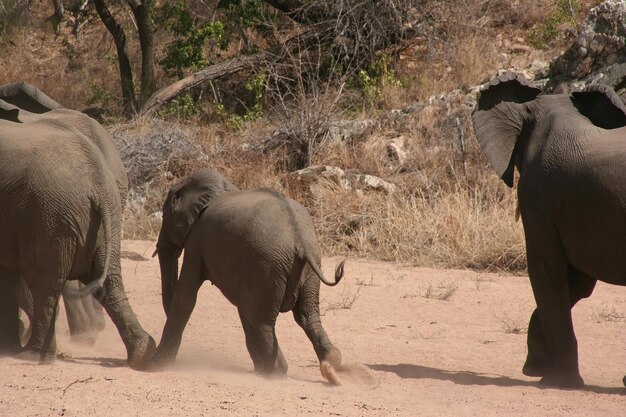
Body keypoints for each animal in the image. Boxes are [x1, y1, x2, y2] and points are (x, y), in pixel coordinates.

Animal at [0, 100, 154, 368]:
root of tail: (98, 181)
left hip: (49, 215)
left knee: (43, 283)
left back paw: (33, 354)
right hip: (99, 217)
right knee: (108, 281)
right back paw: (143, 354)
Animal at [153, 168, 344, 384]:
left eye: (165, 215)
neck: (220, 189)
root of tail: (299, 238)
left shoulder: (197, 242)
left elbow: (185, 297)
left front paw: (156, 365)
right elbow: (243, 309)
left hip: (268, 264)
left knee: (263, 320)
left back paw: (275, 373)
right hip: (304, 266)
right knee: (306, 316)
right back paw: (330, 364)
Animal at [470, 72, 624, 386]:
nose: (529, 367)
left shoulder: (538, 195)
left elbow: (546, 270)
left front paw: (554, 380)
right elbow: (577, 282)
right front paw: (537, 368)